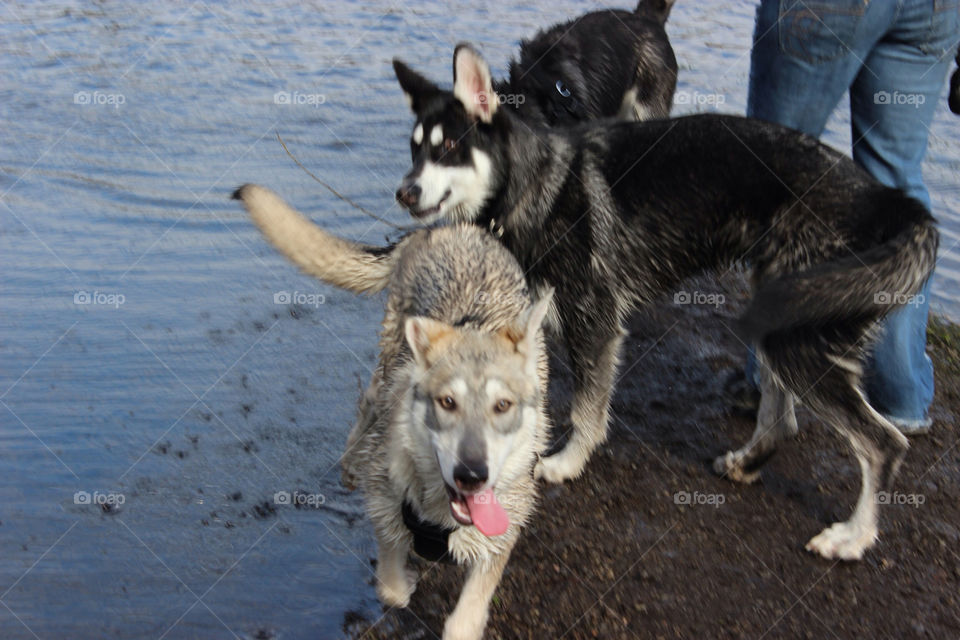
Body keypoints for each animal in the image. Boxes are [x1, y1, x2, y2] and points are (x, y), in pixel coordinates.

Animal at [232, 182, 552, 636]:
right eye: (447, 402)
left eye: (502, 405)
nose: (472, 475)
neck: (442, 516)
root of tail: (447, 228)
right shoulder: (385, 508)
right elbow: (392, 588)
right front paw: (405, 581)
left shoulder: (500, 535)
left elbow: (465, 619)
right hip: (387, 363)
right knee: (366, 405)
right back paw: (350, 462)